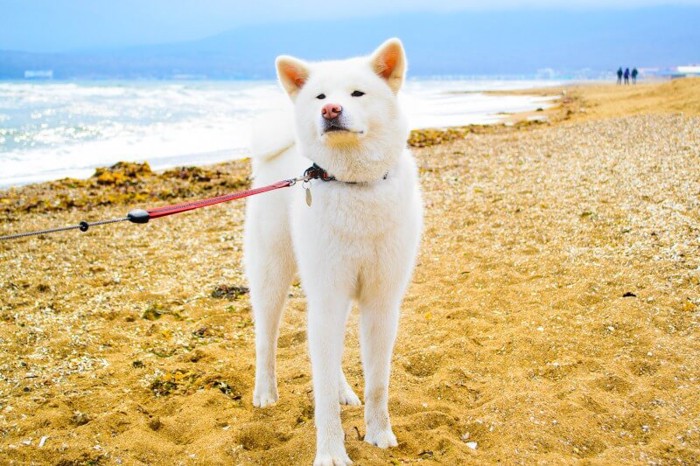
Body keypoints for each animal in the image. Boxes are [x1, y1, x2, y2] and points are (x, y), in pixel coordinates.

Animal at [243, 38, 424, 464]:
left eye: (358, 93)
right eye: (320, 97)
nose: (330, 110)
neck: (356, 185)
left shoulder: (380, 303)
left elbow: (378, 383)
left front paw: (379, 434)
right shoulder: (330, 297)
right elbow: (321, 393)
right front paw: (330, 452)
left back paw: (344, 391)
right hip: (273, 276)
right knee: (266, 337)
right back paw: (265, 392)